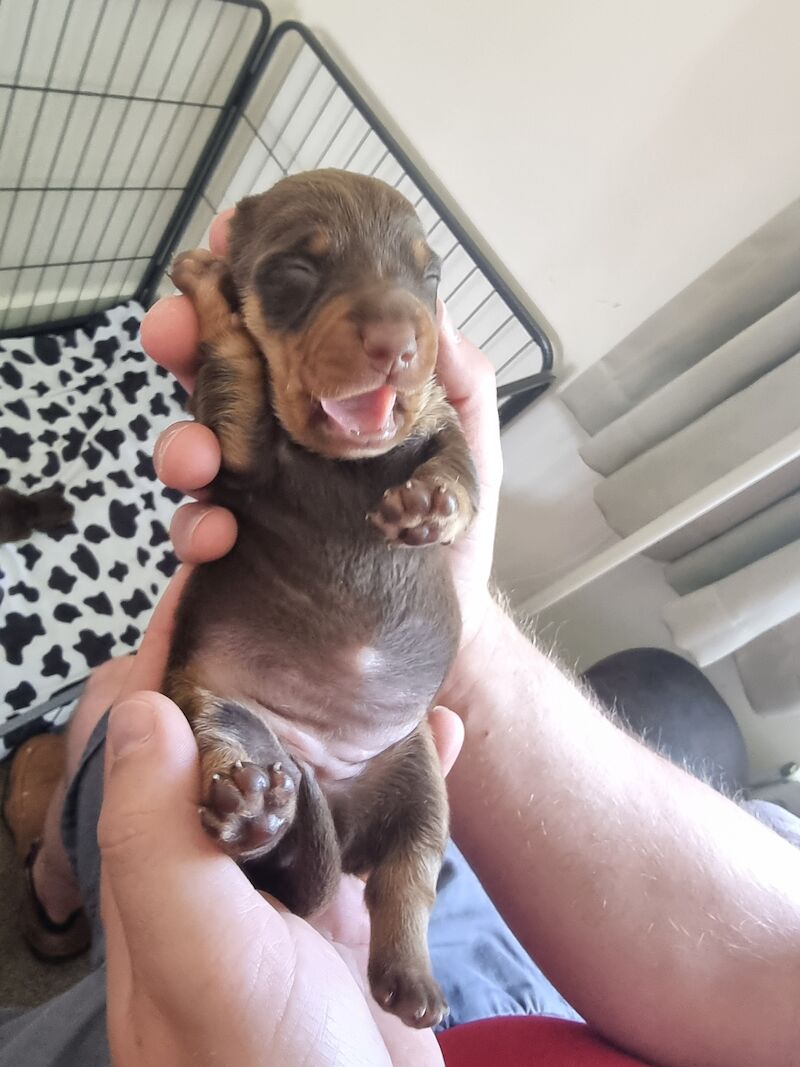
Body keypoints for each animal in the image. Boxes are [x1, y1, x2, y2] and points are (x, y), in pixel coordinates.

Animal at [166, 168, 480, 1024]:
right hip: (218, 709)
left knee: (406, 877)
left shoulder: (438, 410)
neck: (345, 464)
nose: (398, 345)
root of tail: (332, 808)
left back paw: (410, 976)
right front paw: (208, 289)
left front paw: (433, 502)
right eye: (297, 271)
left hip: (418, 778)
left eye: (430, 278)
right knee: (250, 782)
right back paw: (255, 813)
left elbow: (460, 462)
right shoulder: (237, 454)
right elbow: (237, 374)